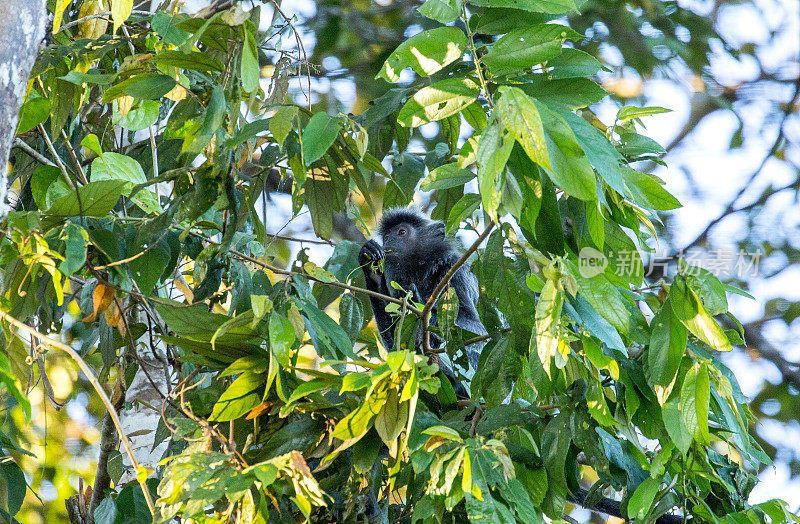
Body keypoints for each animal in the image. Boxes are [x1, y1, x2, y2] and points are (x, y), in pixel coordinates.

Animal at [358, 209, 488, 392]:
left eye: (401, 232)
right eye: (386, 237)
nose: (389, 242)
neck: (421, 271)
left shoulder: (456, 271)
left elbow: (475, 329)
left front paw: (415, 303)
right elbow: (395, 347)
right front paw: (371, 266)